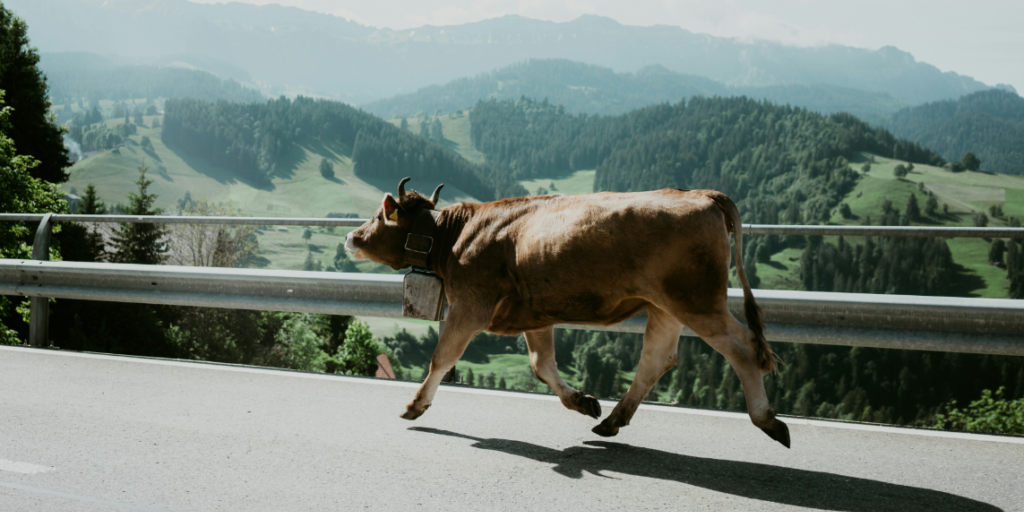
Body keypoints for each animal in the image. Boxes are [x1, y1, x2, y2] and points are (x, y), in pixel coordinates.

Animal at [345, 178, 789, 448]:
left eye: (379, 214)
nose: (351, 236)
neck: (454, 237)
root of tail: (701, 194)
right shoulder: (534, 315)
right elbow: (542, 365)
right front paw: (582, 401)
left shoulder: (471, 305)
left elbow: (443, 357)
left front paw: (416, 404)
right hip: (666, 305)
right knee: (656, 359)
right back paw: (611, 420)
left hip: (697, 300)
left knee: (743, 348)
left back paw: (768, 420)